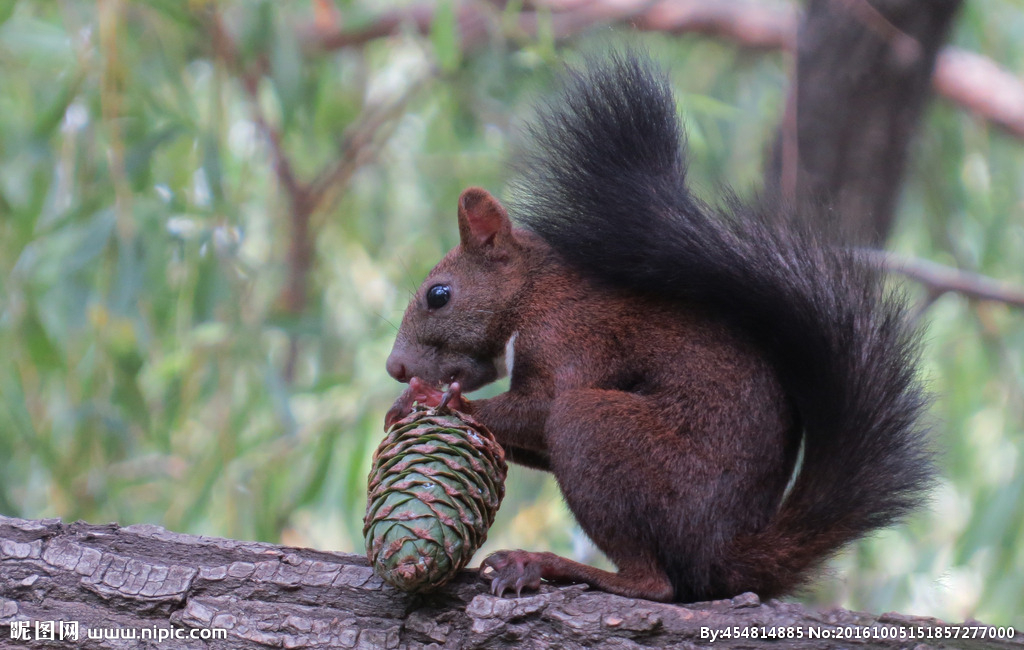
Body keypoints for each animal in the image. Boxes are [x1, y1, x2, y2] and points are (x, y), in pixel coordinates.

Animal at [380, 52, 933, 605]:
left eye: (438, 295)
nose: (395, 367)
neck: (533, 294)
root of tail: (721, 551)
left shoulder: (573, 338)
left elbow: (539, 408)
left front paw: (436, 398)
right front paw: (404, 403)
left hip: (602, 432)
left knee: (654, 583)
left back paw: (541, 563)